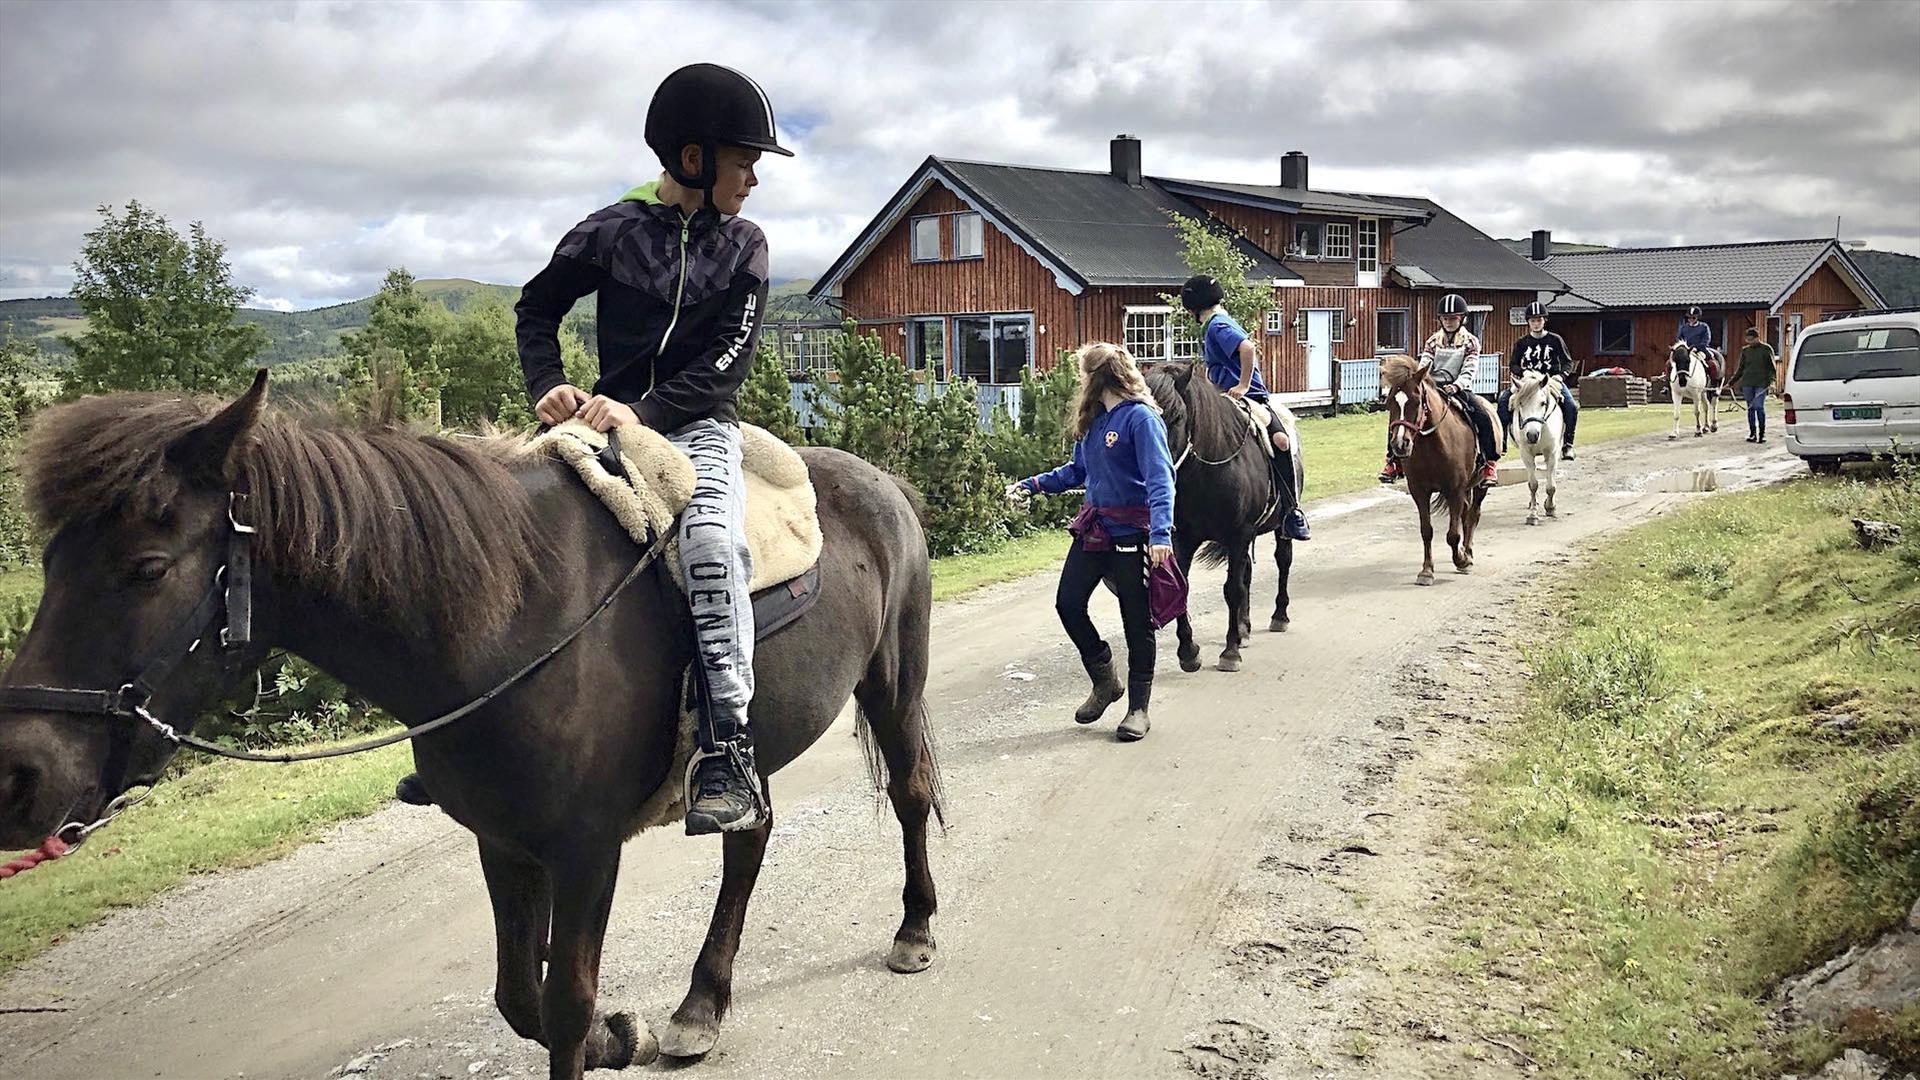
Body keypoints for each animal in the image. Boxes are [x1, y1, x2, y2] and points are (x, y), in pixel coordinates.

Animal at [0, 372, 936, 1076]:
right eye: (48, 560)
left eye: (148, 568)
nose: (17, 776)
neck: (510, 620)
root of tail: (884, 485)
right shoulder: (503, 839)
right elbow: (520, 997)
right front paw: (619, 1037)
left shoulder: (585, 847)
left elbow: (564, 1001)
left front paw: (599, 1031)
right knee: (750, 840)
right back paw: (700, 1006)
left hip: (892, 690)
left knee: (912, 794)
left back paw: (914, 930)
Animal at [1144, 357, 1297, 668]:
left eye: (1176, 416)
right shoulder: (1184, 538)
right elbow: (1184, 586)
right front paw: (1188, 651)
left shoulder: (1238, 534)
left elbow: (1232, 589)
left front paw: (1230, 651)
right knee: (1247, 571)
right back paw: (1244, 627)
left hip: (1279, 529)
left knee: (1282, 562)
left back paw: (1279, 616)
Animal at [1390, 355, 1489, 584]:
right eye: (1389, 402)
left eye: (1416, 401)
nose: (1400, 444)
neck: (1432, 445)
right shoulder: (1420, 491)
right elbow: (1426, 531)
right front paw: (1426, 571)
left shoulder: (1455, 489)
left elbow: (1453, 535)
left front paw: (1461, 560)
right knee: (1465, 514)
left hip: (1480, 485)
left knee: (1473, 514)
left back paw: (1468, 553)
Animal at [1505, 367, 1566, 522]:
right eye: (1520, 403)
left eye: (1543, 403)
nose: (1532, 435)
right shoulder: (1526, 453)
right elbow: (1533, 485)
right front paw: (1533, 514)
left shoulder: (1552, 452)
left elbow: (1551, 485)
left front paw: (1550, 507)